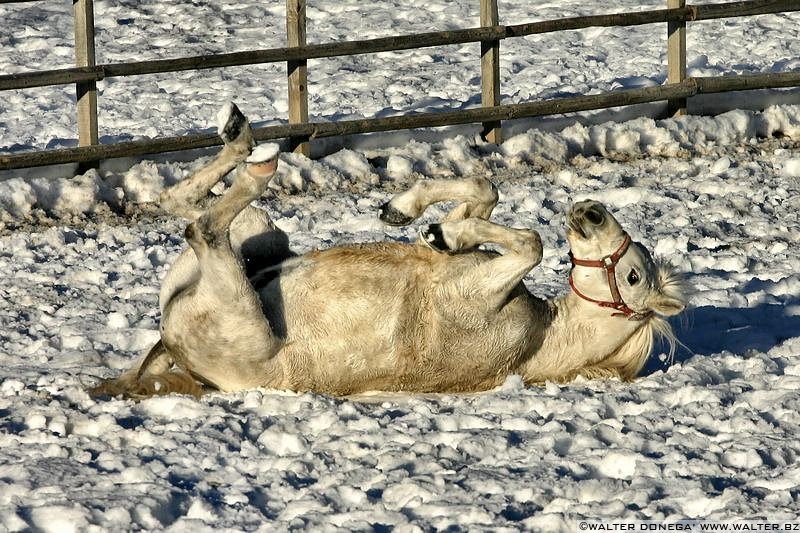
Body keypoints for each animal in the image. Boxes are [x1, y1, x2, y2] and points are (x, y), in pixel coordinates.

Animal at [89, 102, 688, 396]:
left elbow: (531, 243)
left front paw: (439, 229)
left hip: (236, 301)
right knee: (183, 203)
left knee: (201, 224)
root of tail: (175, 351)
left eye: (633, 277)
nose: (591, 211)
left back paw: (252, 151)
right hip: (262, 234)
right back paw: (239, 134)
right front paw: (419, 218)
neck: (539, 338)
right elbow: (484, 194)